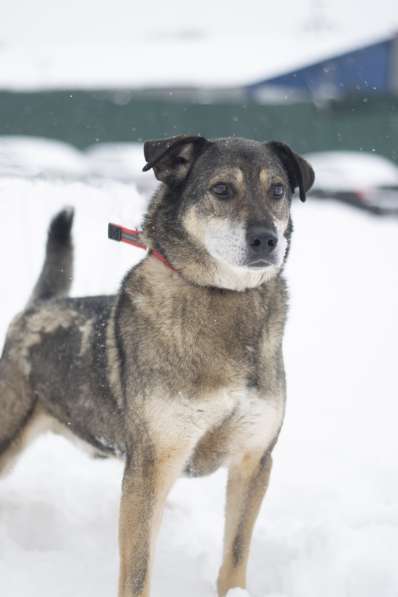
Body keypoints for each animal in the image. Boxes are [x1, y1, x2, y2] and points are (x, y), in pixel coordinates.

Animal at [0, 136, 314, 596]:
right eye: (222, 189)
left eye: (277, 190)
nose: (266, 239)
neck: (222, 296)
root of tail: (38, 309)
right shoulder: (151, 467)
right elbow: (137, 571)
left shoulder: (253, 459)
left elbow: (235, 555)